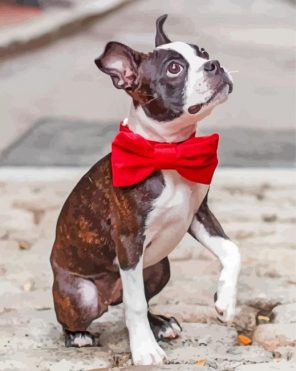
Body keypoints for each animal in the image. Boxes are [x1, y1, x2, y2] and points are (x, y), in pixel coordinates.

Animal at [50, 13, 240, 366]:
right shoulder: (128, 240)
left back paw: (161, 324)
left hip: (158, 268)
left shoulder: (198, 214)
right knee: (90, 312)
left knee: (138, 297)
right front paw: (144, 350)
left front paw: (226, 301)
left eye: (204, 53)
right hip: (83, 294)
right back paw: (79, 336)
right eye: (174, 69)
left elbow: (232, 251)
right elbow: (134, 304)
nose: (215, 64)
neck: (167, 151)